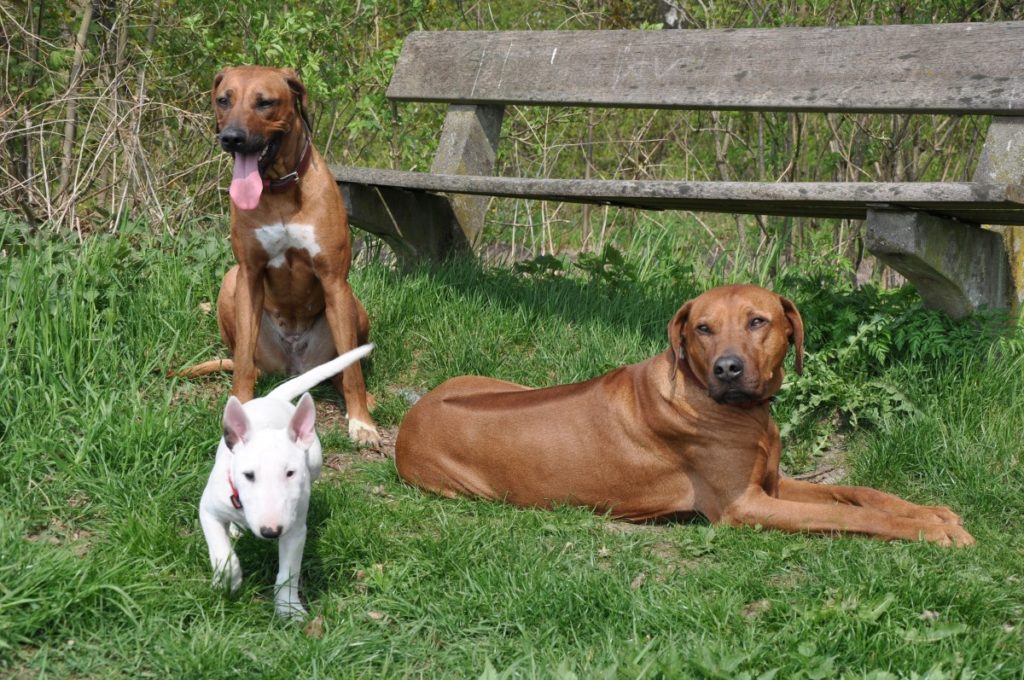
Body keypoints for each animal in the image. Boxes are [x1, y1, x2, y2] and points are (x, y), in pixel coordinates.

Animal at [197, 342, 374, 618]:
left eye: (290, 473)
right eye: (248, 475)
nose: (271, 531)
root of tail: (274, 399)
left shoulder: (295, 529)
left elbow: (288, 572)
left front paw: (289, 609)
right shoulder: (208, 510)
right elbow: (221, 552)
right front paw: (227, 581)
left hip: (315, 461)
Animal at [393, 282, 974, 548]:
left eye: (758, 321)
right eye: (703, 328)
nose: (728, 369)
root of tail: (410, 420)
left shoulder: (772, 484)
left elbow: (859, 492)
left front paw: (931, 513)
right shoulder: (744, 506)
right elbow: (851, 515)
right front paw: (930, 531)